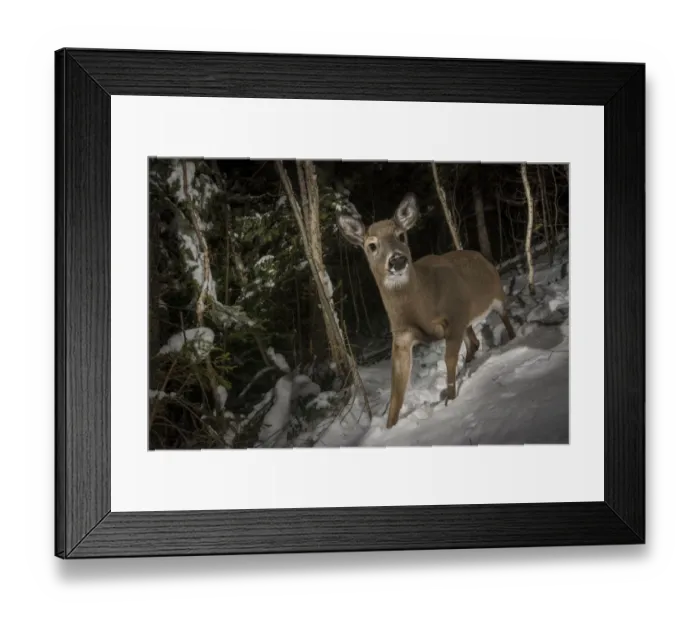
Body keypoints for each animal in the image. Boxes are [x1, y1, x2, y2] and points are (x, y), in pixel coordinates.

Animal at [337, 192, 517, 429]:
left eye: (401, 235)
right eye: (372, 245)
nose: (397, 260)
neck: (422, 307)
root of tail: (480, 256)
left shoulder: (454, 315)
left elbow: (448, 359)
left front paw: (451, 399)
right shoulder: (402, 335)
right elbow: (397, 386)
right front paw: (390, 427)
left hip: (496, 293)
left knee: (504, 316)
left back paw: (512, 339)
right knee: (474, 341)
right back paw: (467, 364)